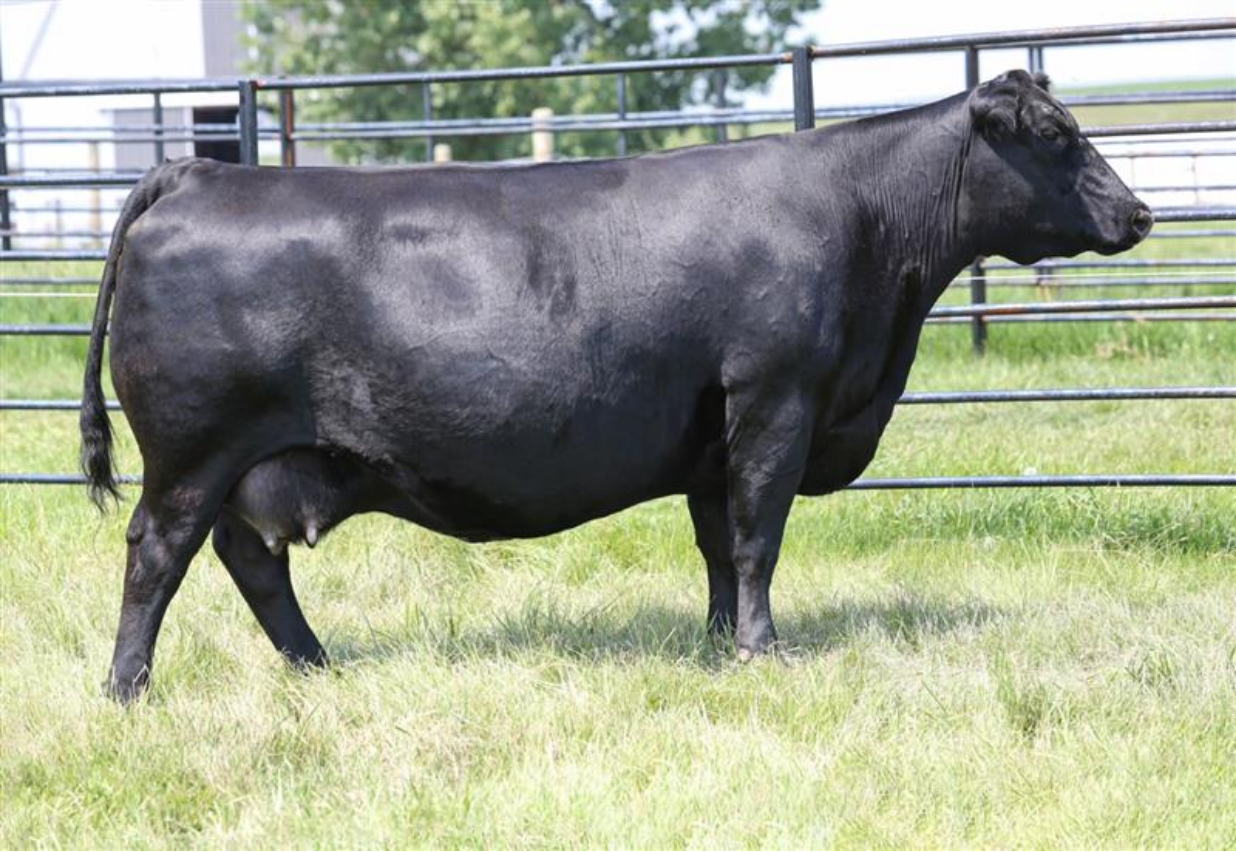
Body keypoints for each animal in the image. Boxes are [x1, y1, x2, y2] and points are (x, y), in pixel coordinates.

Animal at [81, 70, 1151, 702]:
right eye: (1057, 135)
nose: (1140, 213)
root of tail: (200, 175)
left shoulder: (714, 437)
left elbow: (719, 544)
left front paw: (718, 643)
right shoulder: (777, 401)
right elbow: (759, 537)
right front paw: (763, 651)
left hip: (238, 460)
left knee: (249, 558)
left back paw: (316, 667)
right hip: (192, 450)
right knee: (157, 555)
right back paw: (130, 689)